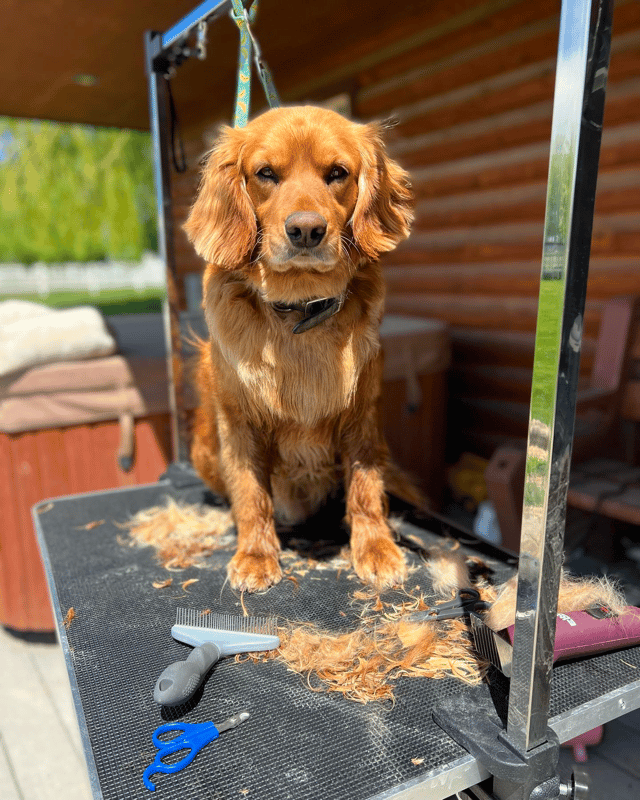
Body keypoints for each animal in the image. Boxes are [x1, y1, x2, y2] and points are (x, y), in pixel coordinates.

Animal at [184, 106, 420, 592]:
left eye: (338, 173)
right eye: (265, 174)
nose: (306, 230)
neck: (299, 309)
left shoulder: (361, 416)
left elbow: (365, 488)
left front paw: (375, 547)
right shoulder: (239, 422)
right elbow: (251, 493)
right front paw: (256, 554)